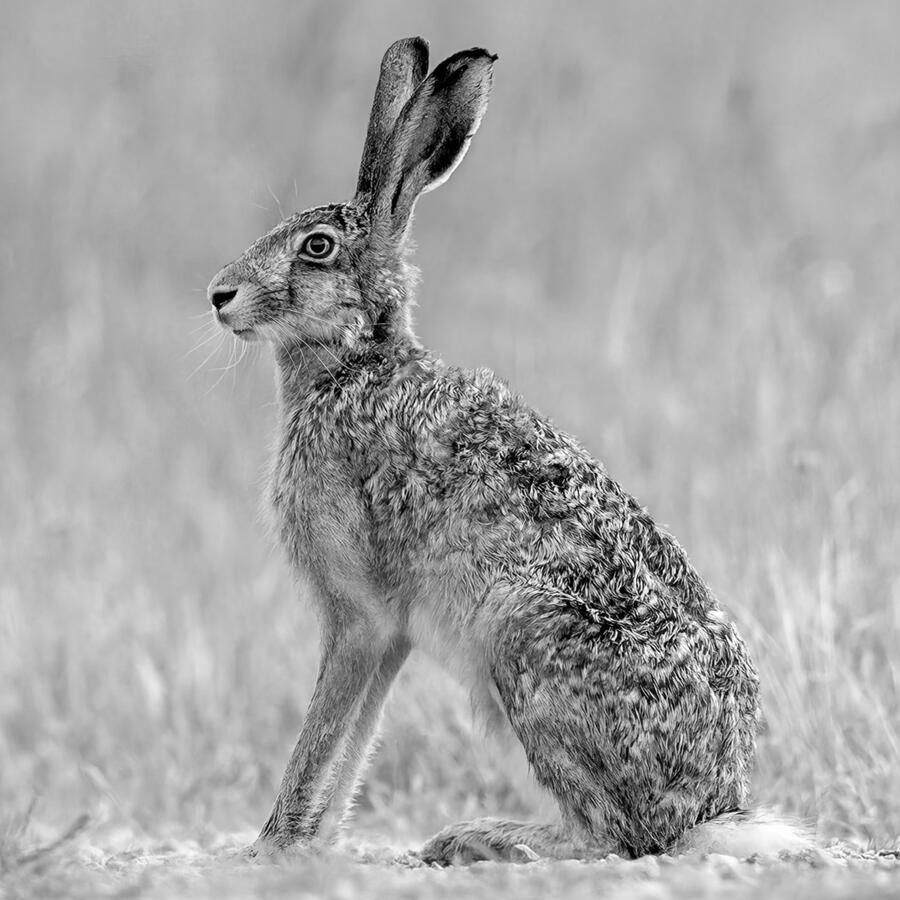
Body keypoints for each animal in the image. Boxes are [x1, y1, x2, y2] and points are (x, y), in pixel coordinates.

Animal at [206, 37, 810, 863]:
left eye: (316, 248)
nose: (219, 295)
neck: (356, 365)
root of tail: (713, 803)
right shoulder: (391, 634)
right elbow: (355, 739)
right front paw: (318, 840)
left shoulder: (359, 614)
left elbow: (323, 732)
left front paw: (271, 846)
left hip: (520, 638)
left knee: (614, 839)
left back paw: (480, 838)